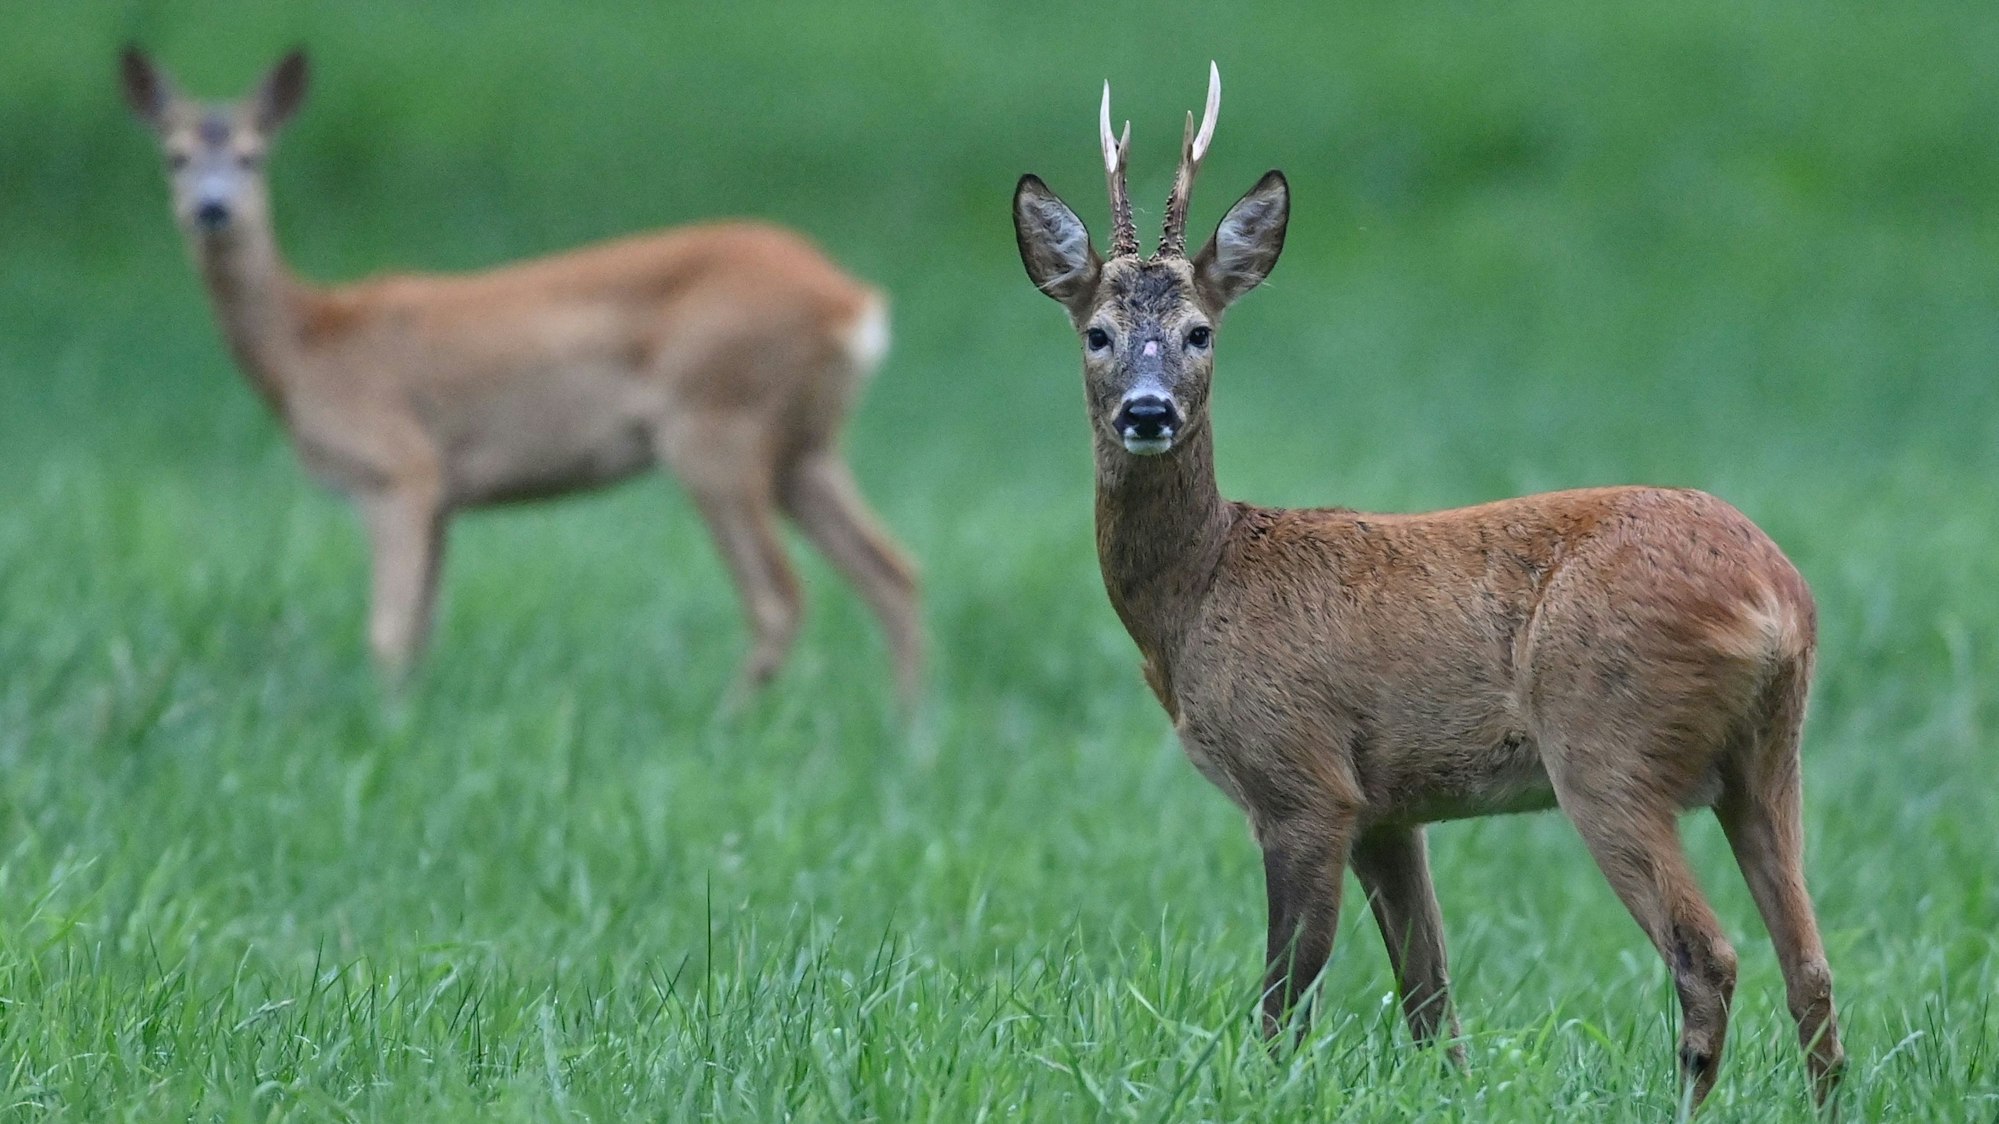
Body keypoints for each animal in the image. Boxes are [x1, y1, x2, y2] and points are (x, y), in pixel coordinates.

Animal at [119, 47, 921, 707]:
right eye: (173, 156)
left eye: (253, 156)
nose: (212, 209)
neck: (306, 343)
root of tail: (853, 301)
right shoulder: (442, 498)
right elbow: (420, 632)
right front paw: (408, 719)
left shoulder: (395, 468)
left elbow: (387, 631)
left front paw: (382, 726)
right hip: (804, 446)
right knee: (895, 575)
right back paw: (909, 737)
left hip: (717, 424)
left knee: (780, 598)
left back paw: (732, 724)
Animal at [1012, 63, 1844, 1110]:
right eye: (1096, 333)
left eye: (1200, 331)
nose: (1148, 412)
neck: (1199, 590)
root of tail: (1775, 598)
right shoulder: (1389, 808)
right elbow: (1429, 997)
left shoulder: (1302, 779)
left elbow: (1287, 994)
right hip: (1770, 758)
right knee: (1810, 965)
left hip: (1605, 743)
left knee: (1709, 953)